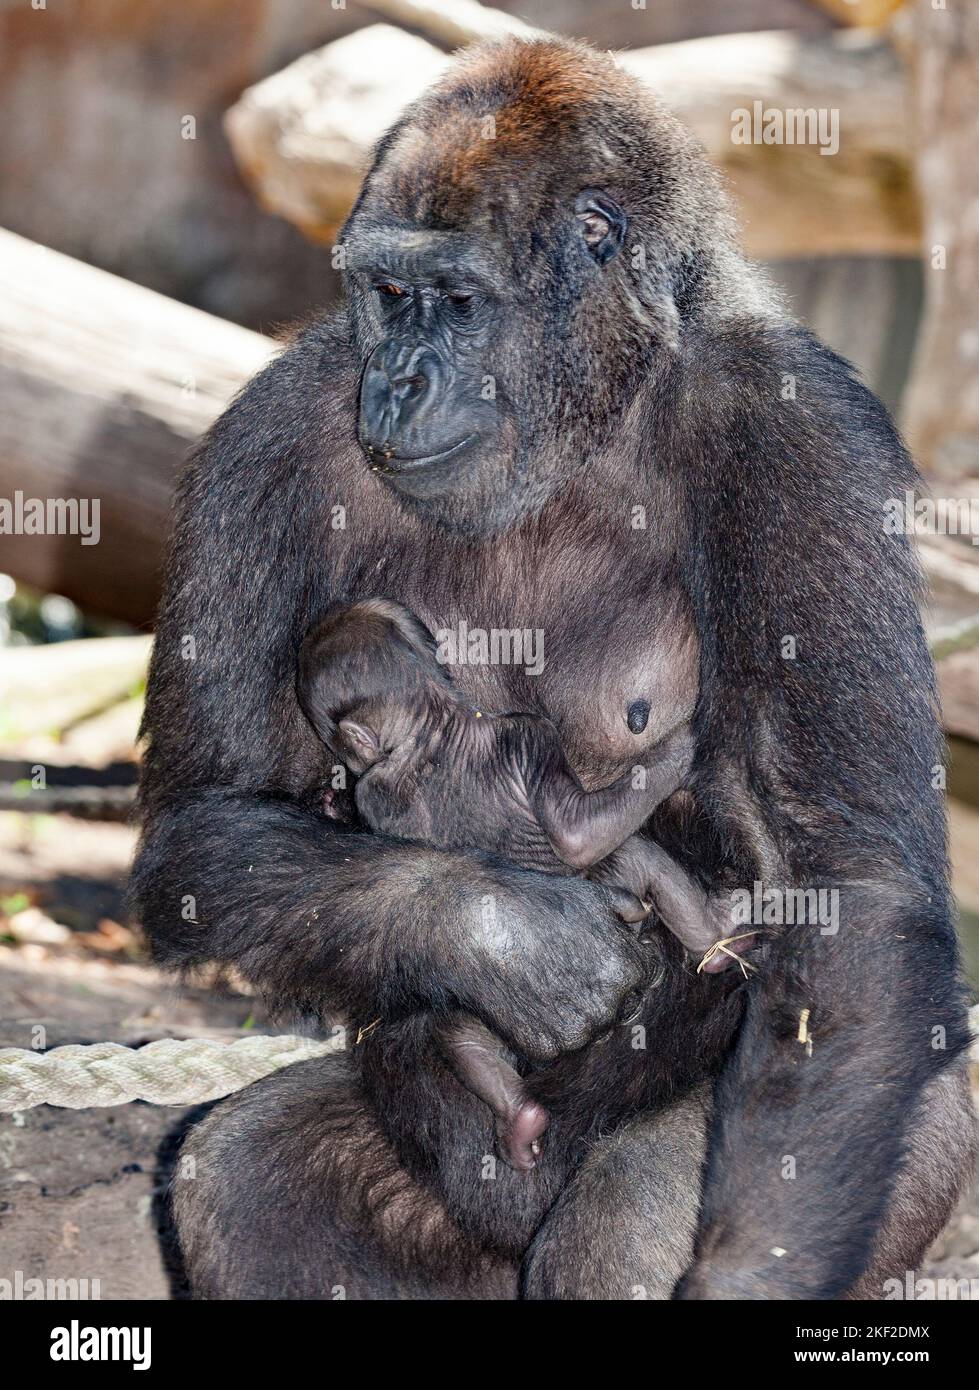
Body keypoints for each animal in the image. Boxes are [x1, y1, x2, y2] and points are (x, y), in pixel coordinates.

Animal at [297, 603, 703, 1167]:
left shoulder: (379, 793)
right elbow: (577, 834)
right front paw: (675, 752)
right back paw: (722, 945)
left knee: (462, 1040)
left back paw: (519, 1120)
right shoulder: (533, 734)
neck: (429, 731)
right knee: (647, 862)